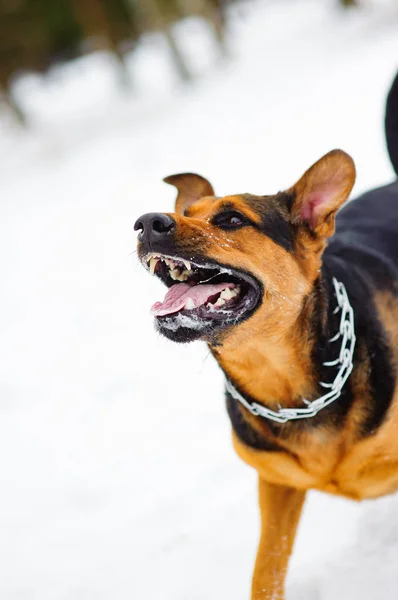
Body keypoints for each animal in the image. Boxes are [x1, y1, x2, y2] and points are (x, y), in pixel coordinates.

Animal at [135, 71, 398, 600]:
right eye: (188, 210)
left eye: (232, 219)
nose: (146, 222)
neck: (284, 378)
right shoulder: (276, 486)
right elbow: (266, 570)